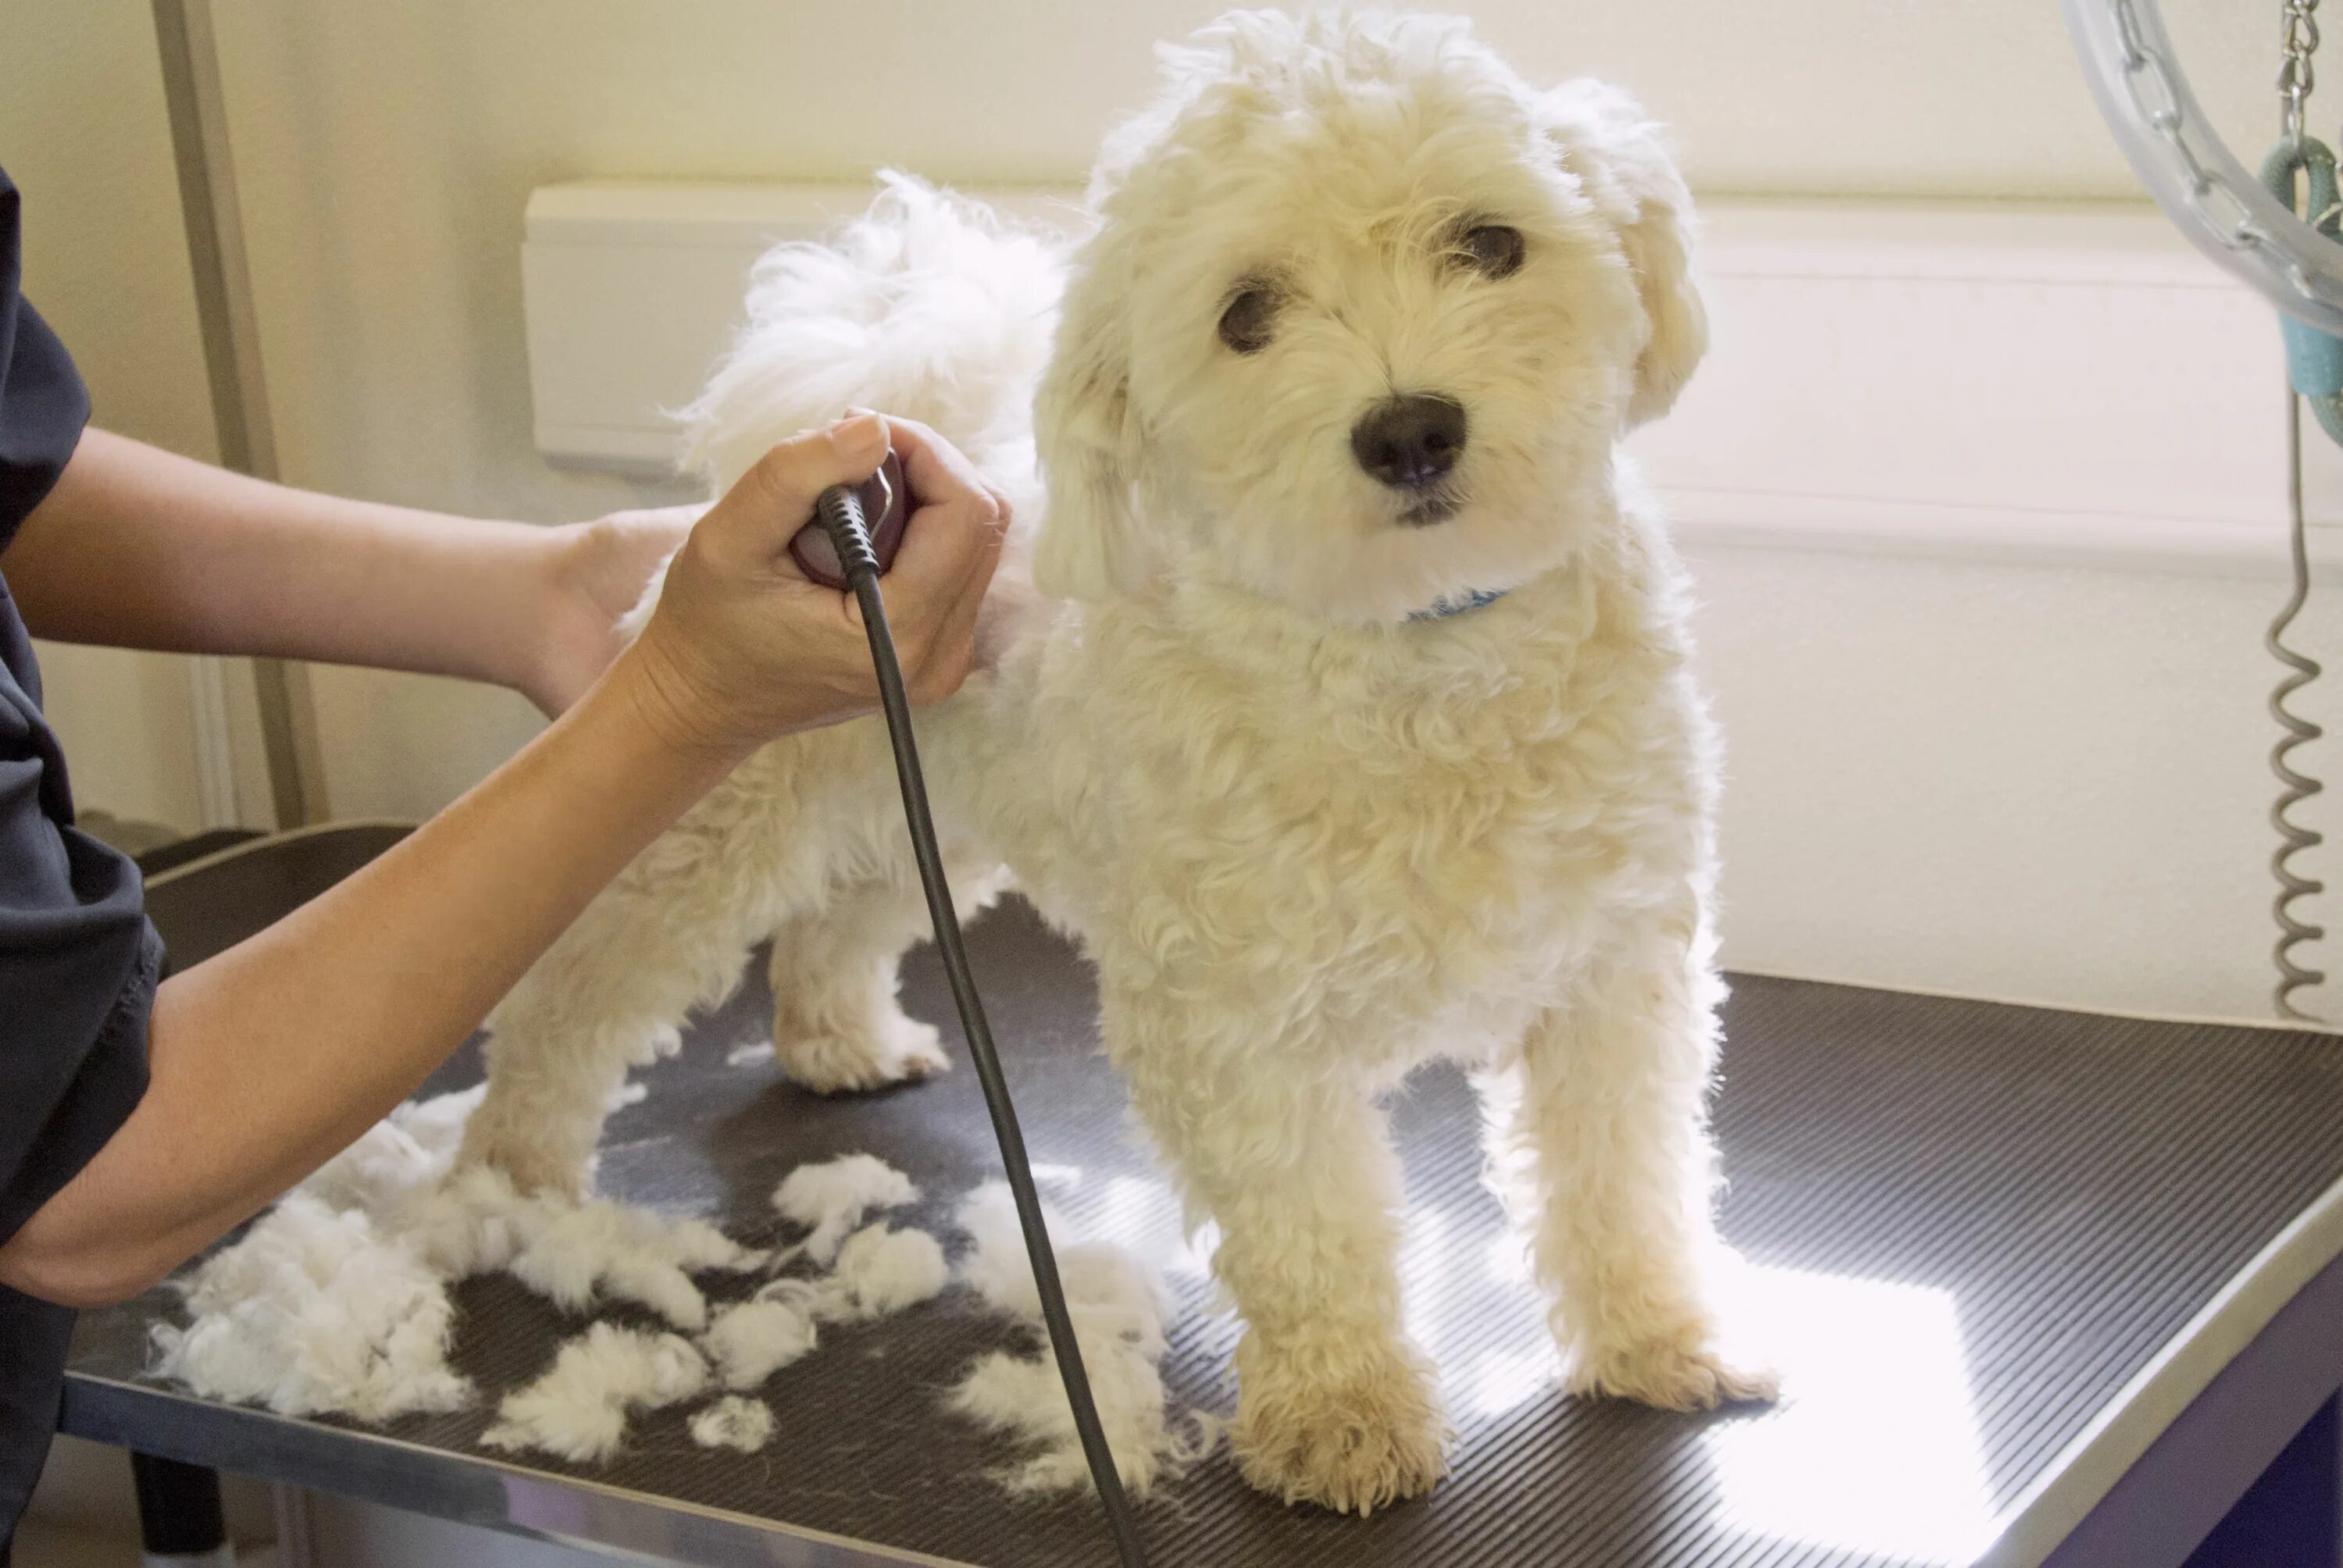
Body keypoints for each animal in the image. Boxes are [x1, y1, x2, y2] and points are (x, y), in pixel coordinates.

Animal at [457, 5, 1771, 1509]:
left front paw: (1657, 1337)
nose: (1411, 429)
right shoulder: (1234, 1022)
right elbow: (1309, 1226)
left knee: (835, 927)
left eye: (1491, 242)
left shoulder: (1615, 974)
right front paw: (1343, 1415)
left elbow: (1626, 1177)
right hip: (704, 812)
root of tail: (861, 408)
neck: (1421, 655)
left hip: (922, 814)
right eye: (1246, 315)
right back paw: (510, 1168)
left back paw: (840, 1040)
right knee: (574, 987)